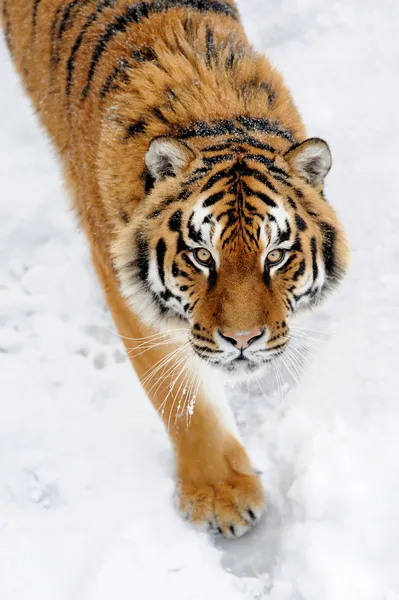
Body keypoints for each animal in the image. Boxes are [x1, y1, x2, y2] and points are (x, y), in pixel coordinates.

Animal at [0, 0, 350, 536]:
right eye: (202, 255)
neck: (216, 115)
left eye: (275, 255)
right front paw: (221, 495)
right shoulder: (125, 288)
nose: (243, 340)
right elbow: (181, 396)